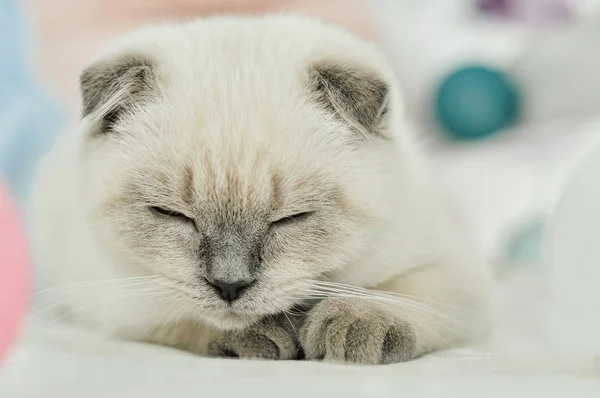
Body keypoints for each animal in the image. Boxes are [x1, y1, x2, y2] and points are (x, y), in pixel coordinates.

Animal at [30, 15, 492, 364]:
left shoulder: (449, 264)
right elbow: (182, 316)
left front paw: (354, 327)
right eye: (172, 215)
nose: (229, 286)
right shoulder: (118, 295)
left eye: (291, 218)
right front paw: (264, 337)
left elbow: (400, 294)